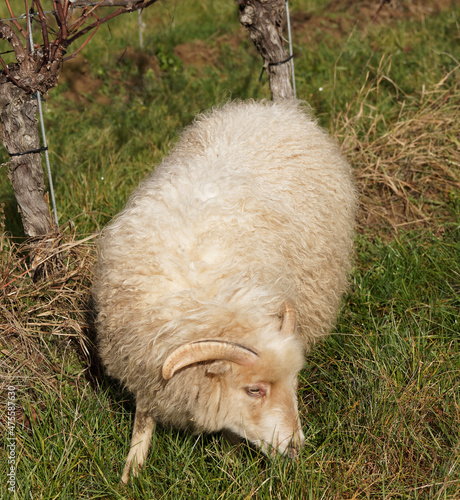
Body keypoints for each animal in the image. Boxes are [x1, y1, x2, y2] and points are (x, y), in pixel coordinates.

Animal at [92, 99, 356, 482]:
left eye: (295, 381)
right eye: (254, 389)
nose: (295, 449)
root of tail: (272, 110)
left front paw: (230, 462)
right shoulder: (143, 359)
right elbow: (143, 418)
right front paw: (131, 473)